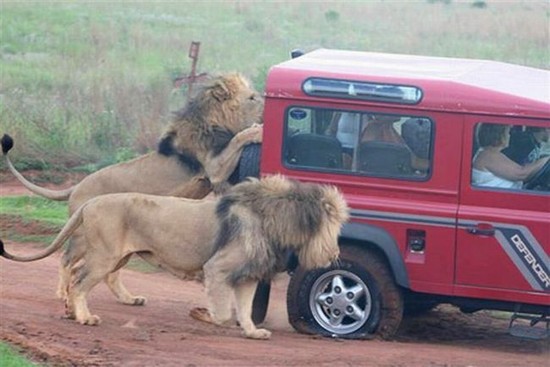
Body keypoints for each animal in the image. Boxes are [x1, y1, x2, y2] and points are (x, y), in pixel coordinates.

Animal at [0, 73, 266, 306]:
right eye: (252, 97)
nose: (265, 101)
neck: (215, 119)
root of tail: (76, 186)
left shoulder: (218, 175)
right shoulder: (213, 167)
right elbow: (238, 138)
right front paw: (256, 131)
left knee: (109, 273)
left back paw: (128, 299)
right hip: (83, 236)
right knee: (67, 261)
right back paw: (64, 295)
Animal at [0, 177, 352, 340]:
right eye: (334, 225)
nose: (335, 253)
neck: (274, 220)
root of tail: (91, 202)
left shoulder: (248, 275)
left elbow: (245, 310)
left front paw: (253, 332)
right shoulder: (218, 268)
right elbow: (223, 314)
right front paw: (201, 314)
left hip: (116, 256)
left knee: (86, 276)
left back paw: (77, 311)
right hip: (104, 255)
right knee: (78, 281)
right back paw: (84, 317)